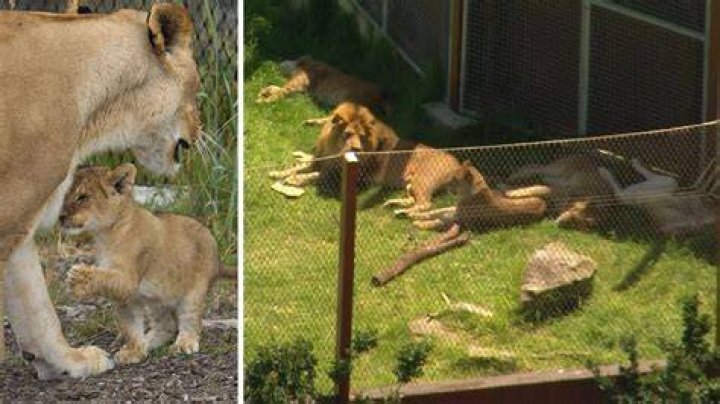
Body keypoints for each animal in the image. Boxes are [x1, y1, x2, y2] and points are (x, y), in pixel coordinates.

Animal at [0, 4, 202, 379]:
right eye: (197, 88)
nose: (199, 131)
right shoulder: (11, 213)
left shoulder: (18, 221)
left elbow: (35, 304)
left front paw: (67, 362)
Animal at [60, 164, 235, 365]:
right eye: (65, 195)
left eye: (82, 197)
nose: (60, 217)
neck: (106, 235)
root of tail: (218, 260)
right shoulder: (127, 298)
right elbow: (131, 327)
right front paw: (134, 351)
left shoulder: (128, 280)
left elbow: (105, 277)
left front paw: (77, 277)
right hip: (156, 300)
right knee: (167, 326)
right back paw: (147, 342)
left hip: (194, 292)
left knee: (191, 320)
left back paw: (184, 344)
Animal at [256, 55, 387, 110]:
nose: (277, 64)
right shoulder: (303, 90)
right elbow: (276, 88)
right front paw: (265, 91)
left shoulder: (299, 81)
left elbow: (280, 91)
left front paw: (263, 98)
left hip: (350, 103)